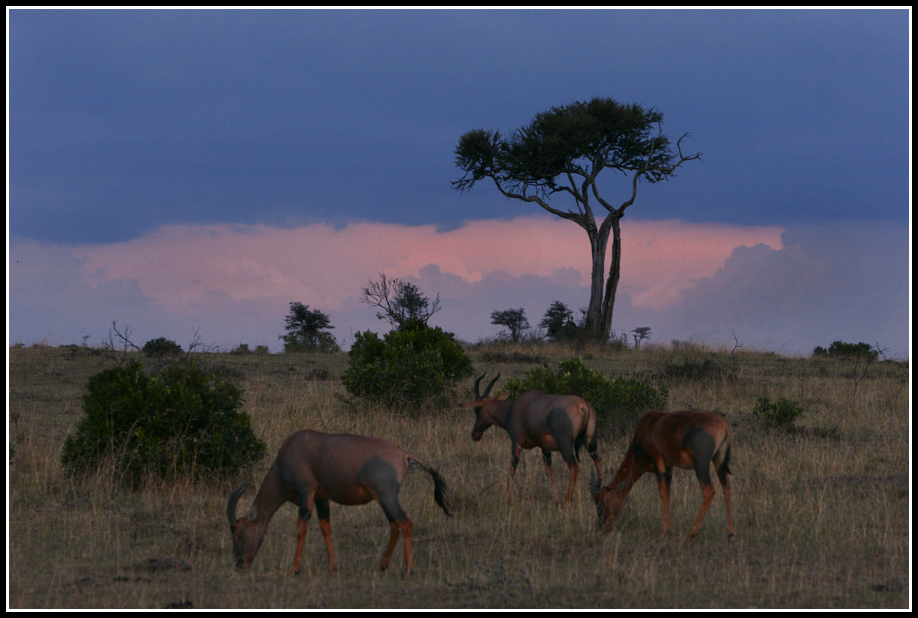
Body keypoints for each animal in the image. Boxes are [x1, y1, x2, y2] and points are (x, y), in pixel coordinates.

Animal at [225, 428, 452, 572]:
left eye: (239, 534)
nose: (239, 565)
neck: (294, 447)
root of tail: (403, 454)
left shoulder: (306, 492)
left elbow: (301, 528)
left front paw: (295, 569)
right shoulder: (321, 498)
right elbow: (325, 527)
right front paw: (332, 567)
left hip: (387, 497)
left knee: (404, 522)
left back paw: (408, 569)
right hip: (384, 499)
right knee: (395, 525)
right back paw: (382, 566)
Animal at [460, 370, 604, 500]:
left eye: (477, 409)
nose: (475, 434)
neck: (515, 407)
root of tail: (583, 407)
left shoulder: (516, 442)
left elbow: (512, 468)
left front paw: (505, 498)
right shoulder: (545, 448)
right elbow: (548, 471)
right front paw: (555, 499)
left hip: (565, 445)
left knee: (574, 467)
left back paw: (567, 501)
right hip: (591, 443)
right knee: (598, 462)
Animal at [592, 410, 736, 540]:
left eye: (602, 502)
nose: (603, 529)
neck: (648, 426)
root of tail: (724, 425)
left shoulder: (659, 463)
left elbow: (662, 493)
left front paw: (663, 532)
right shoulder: (669, 467)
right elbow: (668, 493)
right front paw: (668, 530)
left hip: (701, 464)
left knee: (709, 491)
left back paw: (691, 533)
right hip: (719, 461)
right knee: (726, 487)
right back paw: (730, 533)